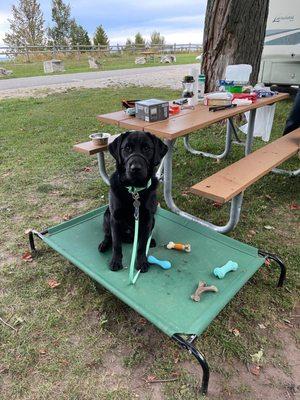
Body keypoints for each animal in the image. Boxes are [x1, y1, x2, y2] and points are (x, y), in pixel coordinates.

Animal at [99, 131, 168, 272]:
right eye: (127, 148)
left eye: (147, 148)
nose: (135, 168)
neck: (134, 191)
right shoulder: (115, 218)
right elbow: (116, 244)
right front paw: (115, 261)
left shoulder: (147, 219)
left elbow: (141, 245)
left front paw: (141, 262)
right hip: (107, 216)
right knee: (108, 235)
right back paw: (104, 244)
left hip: (153, 220)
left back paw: (151, 241)